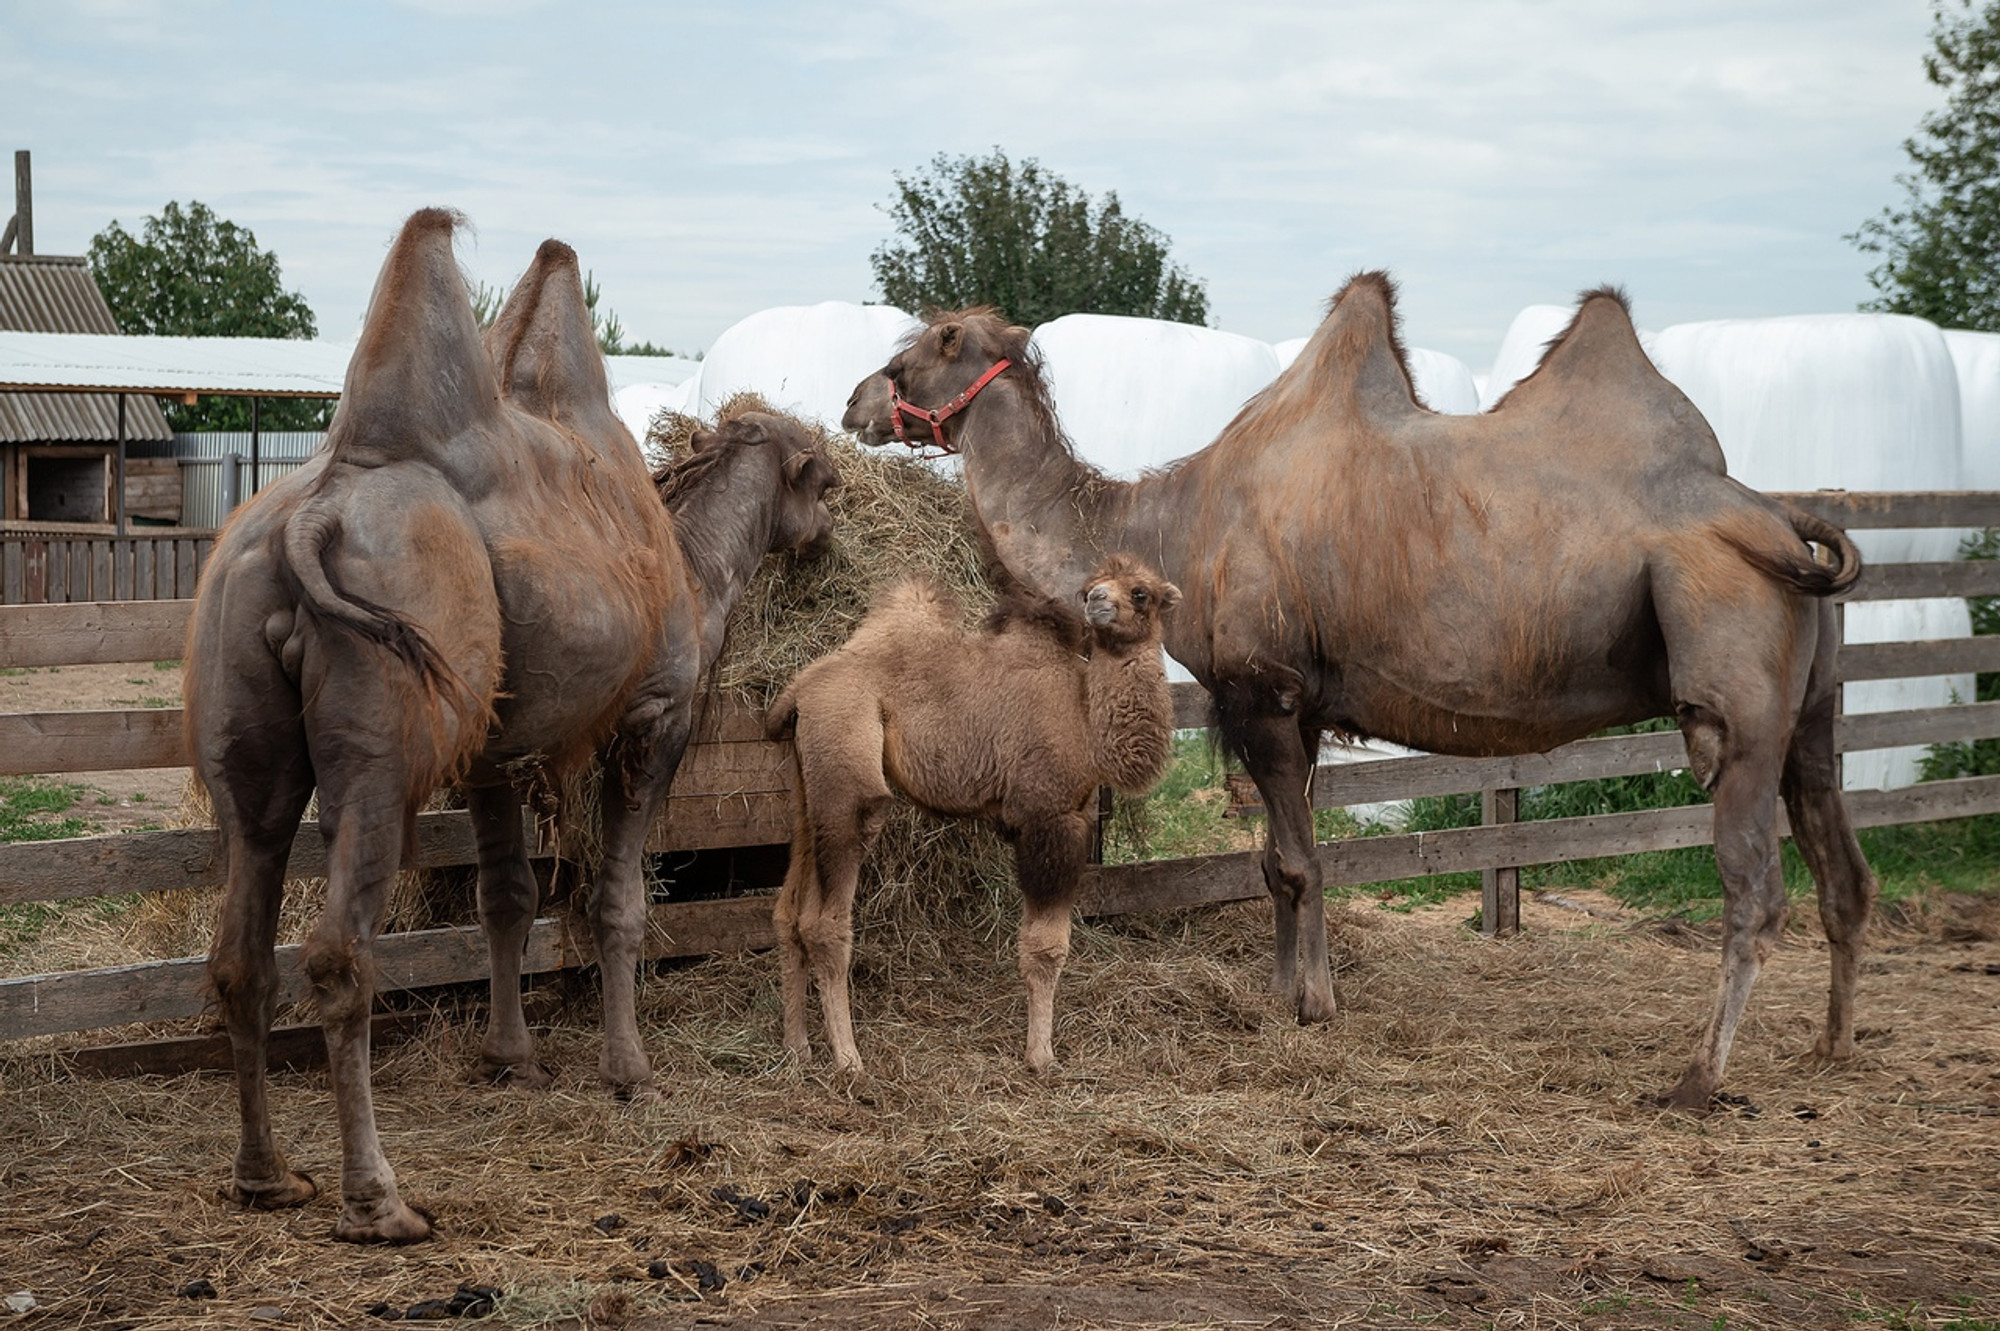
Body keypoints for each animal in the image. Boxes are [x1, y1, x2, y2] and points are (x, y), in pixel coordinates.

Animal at [186, 204, 836, 1231]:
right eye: (820, 480)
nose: (833, 528)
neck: (693, 570)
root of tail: (312, 517)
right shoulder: (654, 717)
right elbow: (616, 901)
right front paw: (629, 1071)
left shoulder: (493, 750)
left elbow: (507, 899)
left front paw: (511, 1059)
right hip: (383, 744)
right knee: (336, 952)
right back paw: (379, 1200)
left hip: (246, 720)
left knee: (241, 945)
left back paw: (266, 1175)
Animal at [760, 555, 1168, 1071]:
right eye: (1091, 588)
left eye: (1140, 593)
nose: (1096, 601)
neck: (1085, 719)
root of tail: (797, 689)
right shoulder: (1048, 817)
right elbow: (1047, 947)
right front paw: (1041, 1056)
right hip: (845, 767)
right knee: (824, 920)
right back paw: (849, 1061)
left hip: (804, 784)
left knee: (787, 911)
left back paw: (796, 1047)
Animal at [844, 281, 1872, 1111]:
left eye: (938, 338)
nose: (859, 400)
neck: (1170, 526)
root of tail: (1782, 523)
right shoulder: (1290, 705)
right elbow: (1271, 861)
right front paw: (1280, 994)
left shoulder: (1263, 689)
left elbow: (1300, 864)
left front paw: (1316, 1006)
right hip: (1811, 705)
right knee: (1842, 864)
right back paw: (1830, 1046)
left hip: (1731, 687)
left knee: (1755, 887)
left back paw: (1698, 1078)